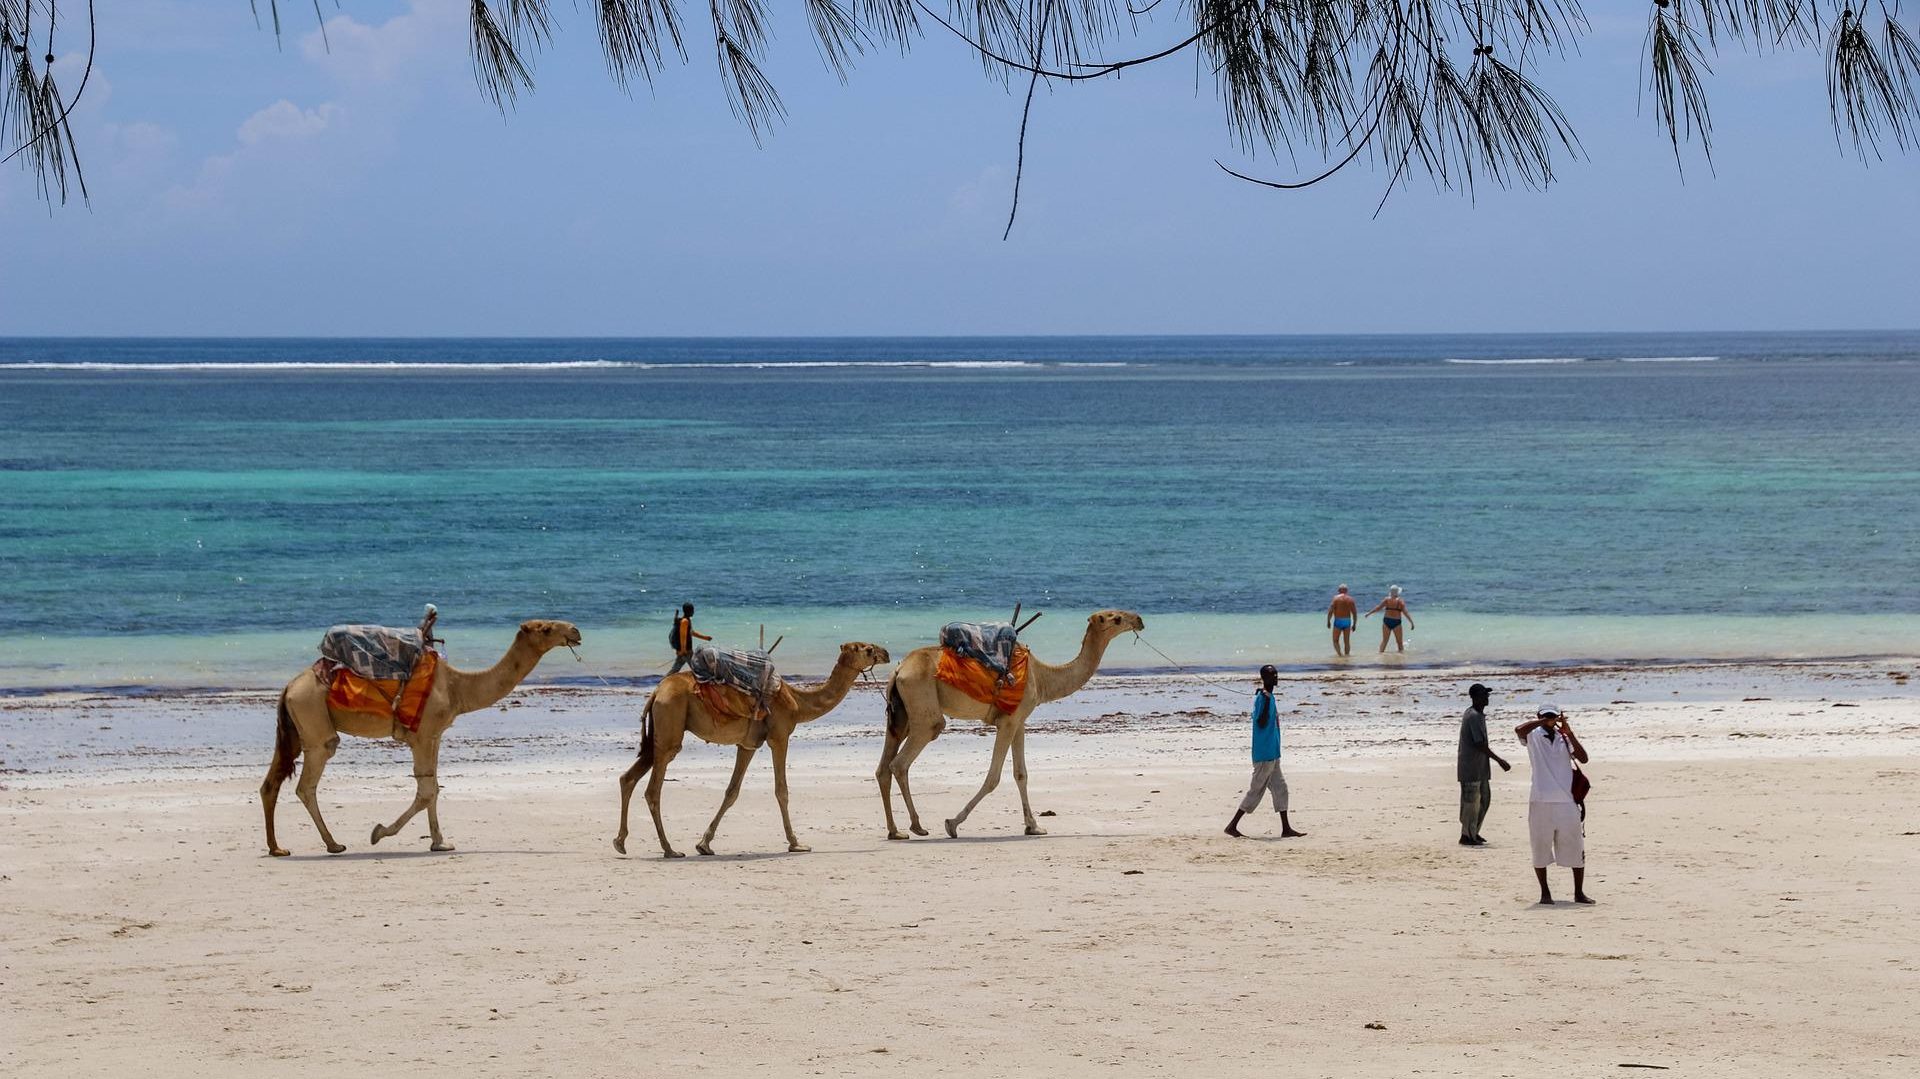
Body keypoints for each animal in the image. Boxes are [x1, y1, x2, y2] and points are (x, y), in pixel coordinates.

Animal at [259, 610, 579, 852]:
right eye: (546, 628)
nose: (575, 630)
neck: (457, 687)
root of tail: (289, 687)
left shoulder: (434, 736)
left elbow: (434, 787)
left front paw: (439, 842)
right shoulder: (422, 735)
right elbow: (426, 791)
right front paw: (379, 833)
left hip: (295, 729)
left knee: (271, 782)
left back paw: (277, 848)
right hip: (314, 723)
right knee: (307, 784)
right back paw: (333, 844)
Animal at [614, 637, 890, 856]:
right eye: (868, 649)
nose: (886, 653)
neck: (797, 702)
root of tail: (656, 693)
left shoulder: (747, 746)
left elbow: (732, 792)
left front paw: (704, 844)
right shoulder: (780, 736)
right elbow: (782, 790)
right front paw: (796, 843)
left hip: (658, 736)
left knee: (628, 778)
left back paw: (620, 842)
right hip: (670, 728)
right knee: (653, 790)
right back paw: (669, 849)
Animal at [879, 606, 1144, 840]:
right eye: (1116, 618)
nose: (1139, 619)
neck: (1042, 676)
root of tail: (898, 670)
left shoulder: (1020, 721)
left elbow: (1021, 773)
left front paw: (1033, 826)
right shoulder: (1007, 722)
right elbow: (993, 777)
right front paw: (952, 824)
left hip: (900, 716)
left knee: (883, 768)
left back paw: (895, 831)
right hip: (924, 710)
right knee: (901, 762)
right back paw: (917, 826)